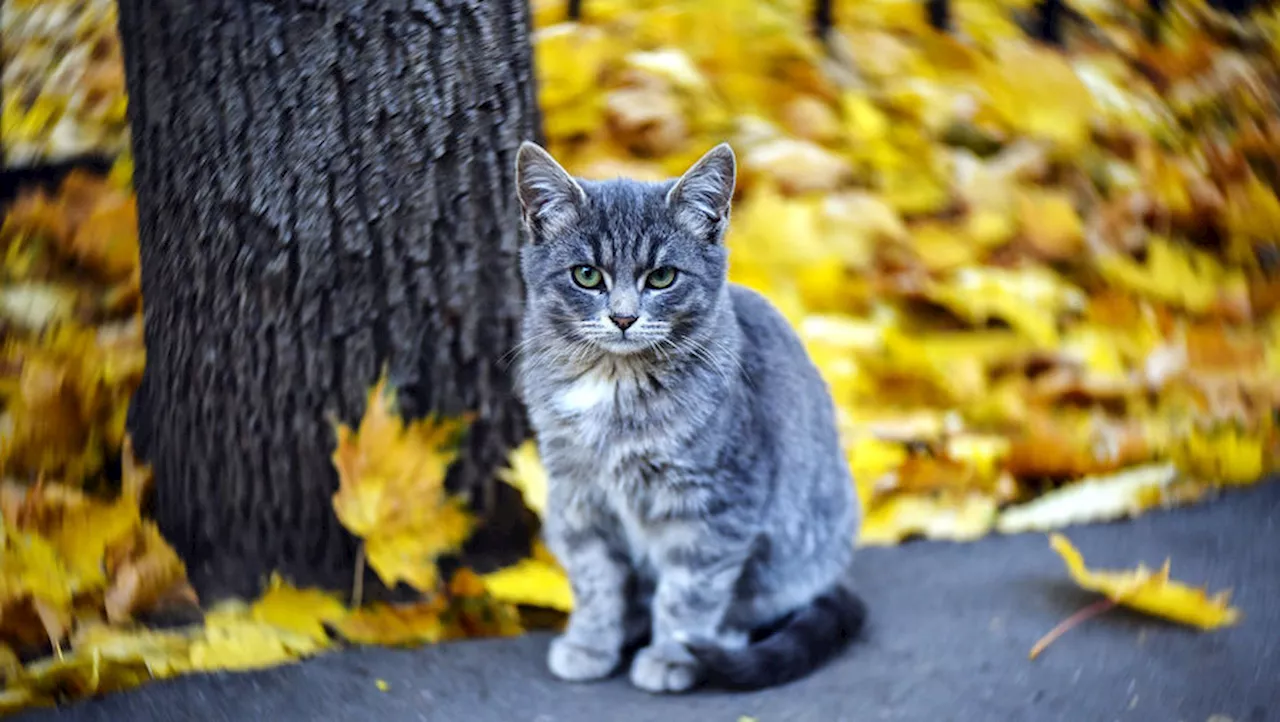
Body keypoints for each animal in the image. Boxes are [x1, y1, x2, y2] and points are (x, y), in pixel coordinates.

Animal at [509, 139, 860, 691]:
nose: (623, 317)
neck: (616, 386)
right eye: (586, 275)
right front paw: (590, 644)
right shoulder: (578, 497)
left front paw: (673, 654)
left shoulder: (719, 502)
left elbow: (690, 590)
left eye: (662, 277)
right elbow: (594, 579)